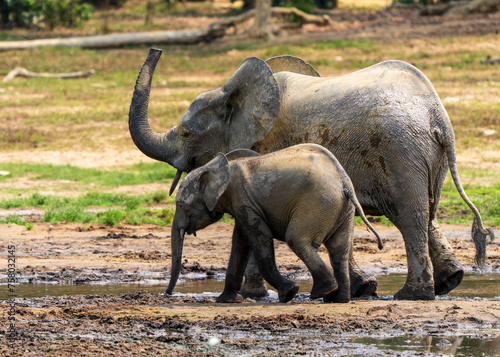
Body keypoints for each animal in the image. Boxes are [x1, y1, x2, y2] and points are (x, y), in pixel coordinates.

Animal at [166, 143, 380, 302]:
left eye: (181, 205)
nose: (168, 294)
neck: (218, 167)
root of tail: (344, 182)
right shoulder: (242, 205)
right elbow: (240, 244)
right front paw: (226, 300)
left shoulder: (244, 199)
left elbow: (260, 240)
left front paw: (289, 293)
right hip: (342, 209)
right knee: (339, 249)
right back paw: (337, 299)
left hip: (317, 204)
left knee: (297, 240)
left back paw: (322, 292)